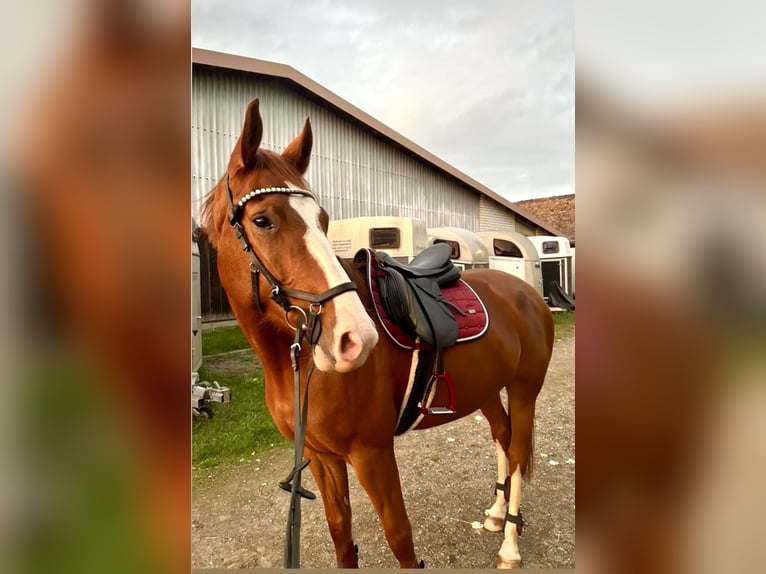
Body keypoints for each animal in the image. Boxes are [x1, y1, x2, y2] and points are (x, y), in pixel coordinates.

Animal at [201, 98, 554, 569]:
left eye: (323, 219)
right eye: (262, 220)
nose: (356, 338)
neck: (295, 365)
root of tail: (527, 293)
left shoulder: (372, 453)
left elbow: (400, 540)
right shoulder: (321, 457)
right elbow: (342, 537)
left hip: (524, 389)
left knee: (516, 453)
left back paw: (510, 545)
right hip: (488, 390)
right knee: (503, 437)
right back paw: (497, 515)